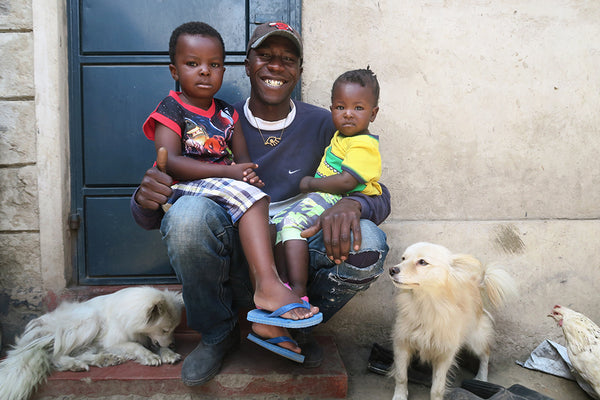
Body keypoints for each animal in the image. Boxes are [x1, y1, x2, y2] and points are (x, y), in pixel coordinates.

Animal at [0, 286, 184, 400]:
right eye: (165, 330)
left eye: (174, 329)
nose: (174, 344)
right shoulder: (115, 341)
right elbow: (136, 346)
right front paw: (150, 356)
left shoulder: (150, 338)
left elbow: (158, 346)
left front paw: (169, 354)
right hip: (89, 322)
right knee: (56, 355)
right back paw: (75, 364)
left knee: (80, 353)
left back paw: (105, 359)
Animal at [390, 242, 516, 398]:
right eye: (403, 258)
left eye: (422, 262)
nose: (392, 269)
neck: (426, 304)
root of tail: (476, 283)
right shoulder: (402, 343)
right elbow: (401, 376)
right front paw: (400, 396)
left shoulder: (445, 354)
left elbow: (437, 387)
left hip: (475, 338)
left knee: (485, 353)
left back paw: (482, 377)